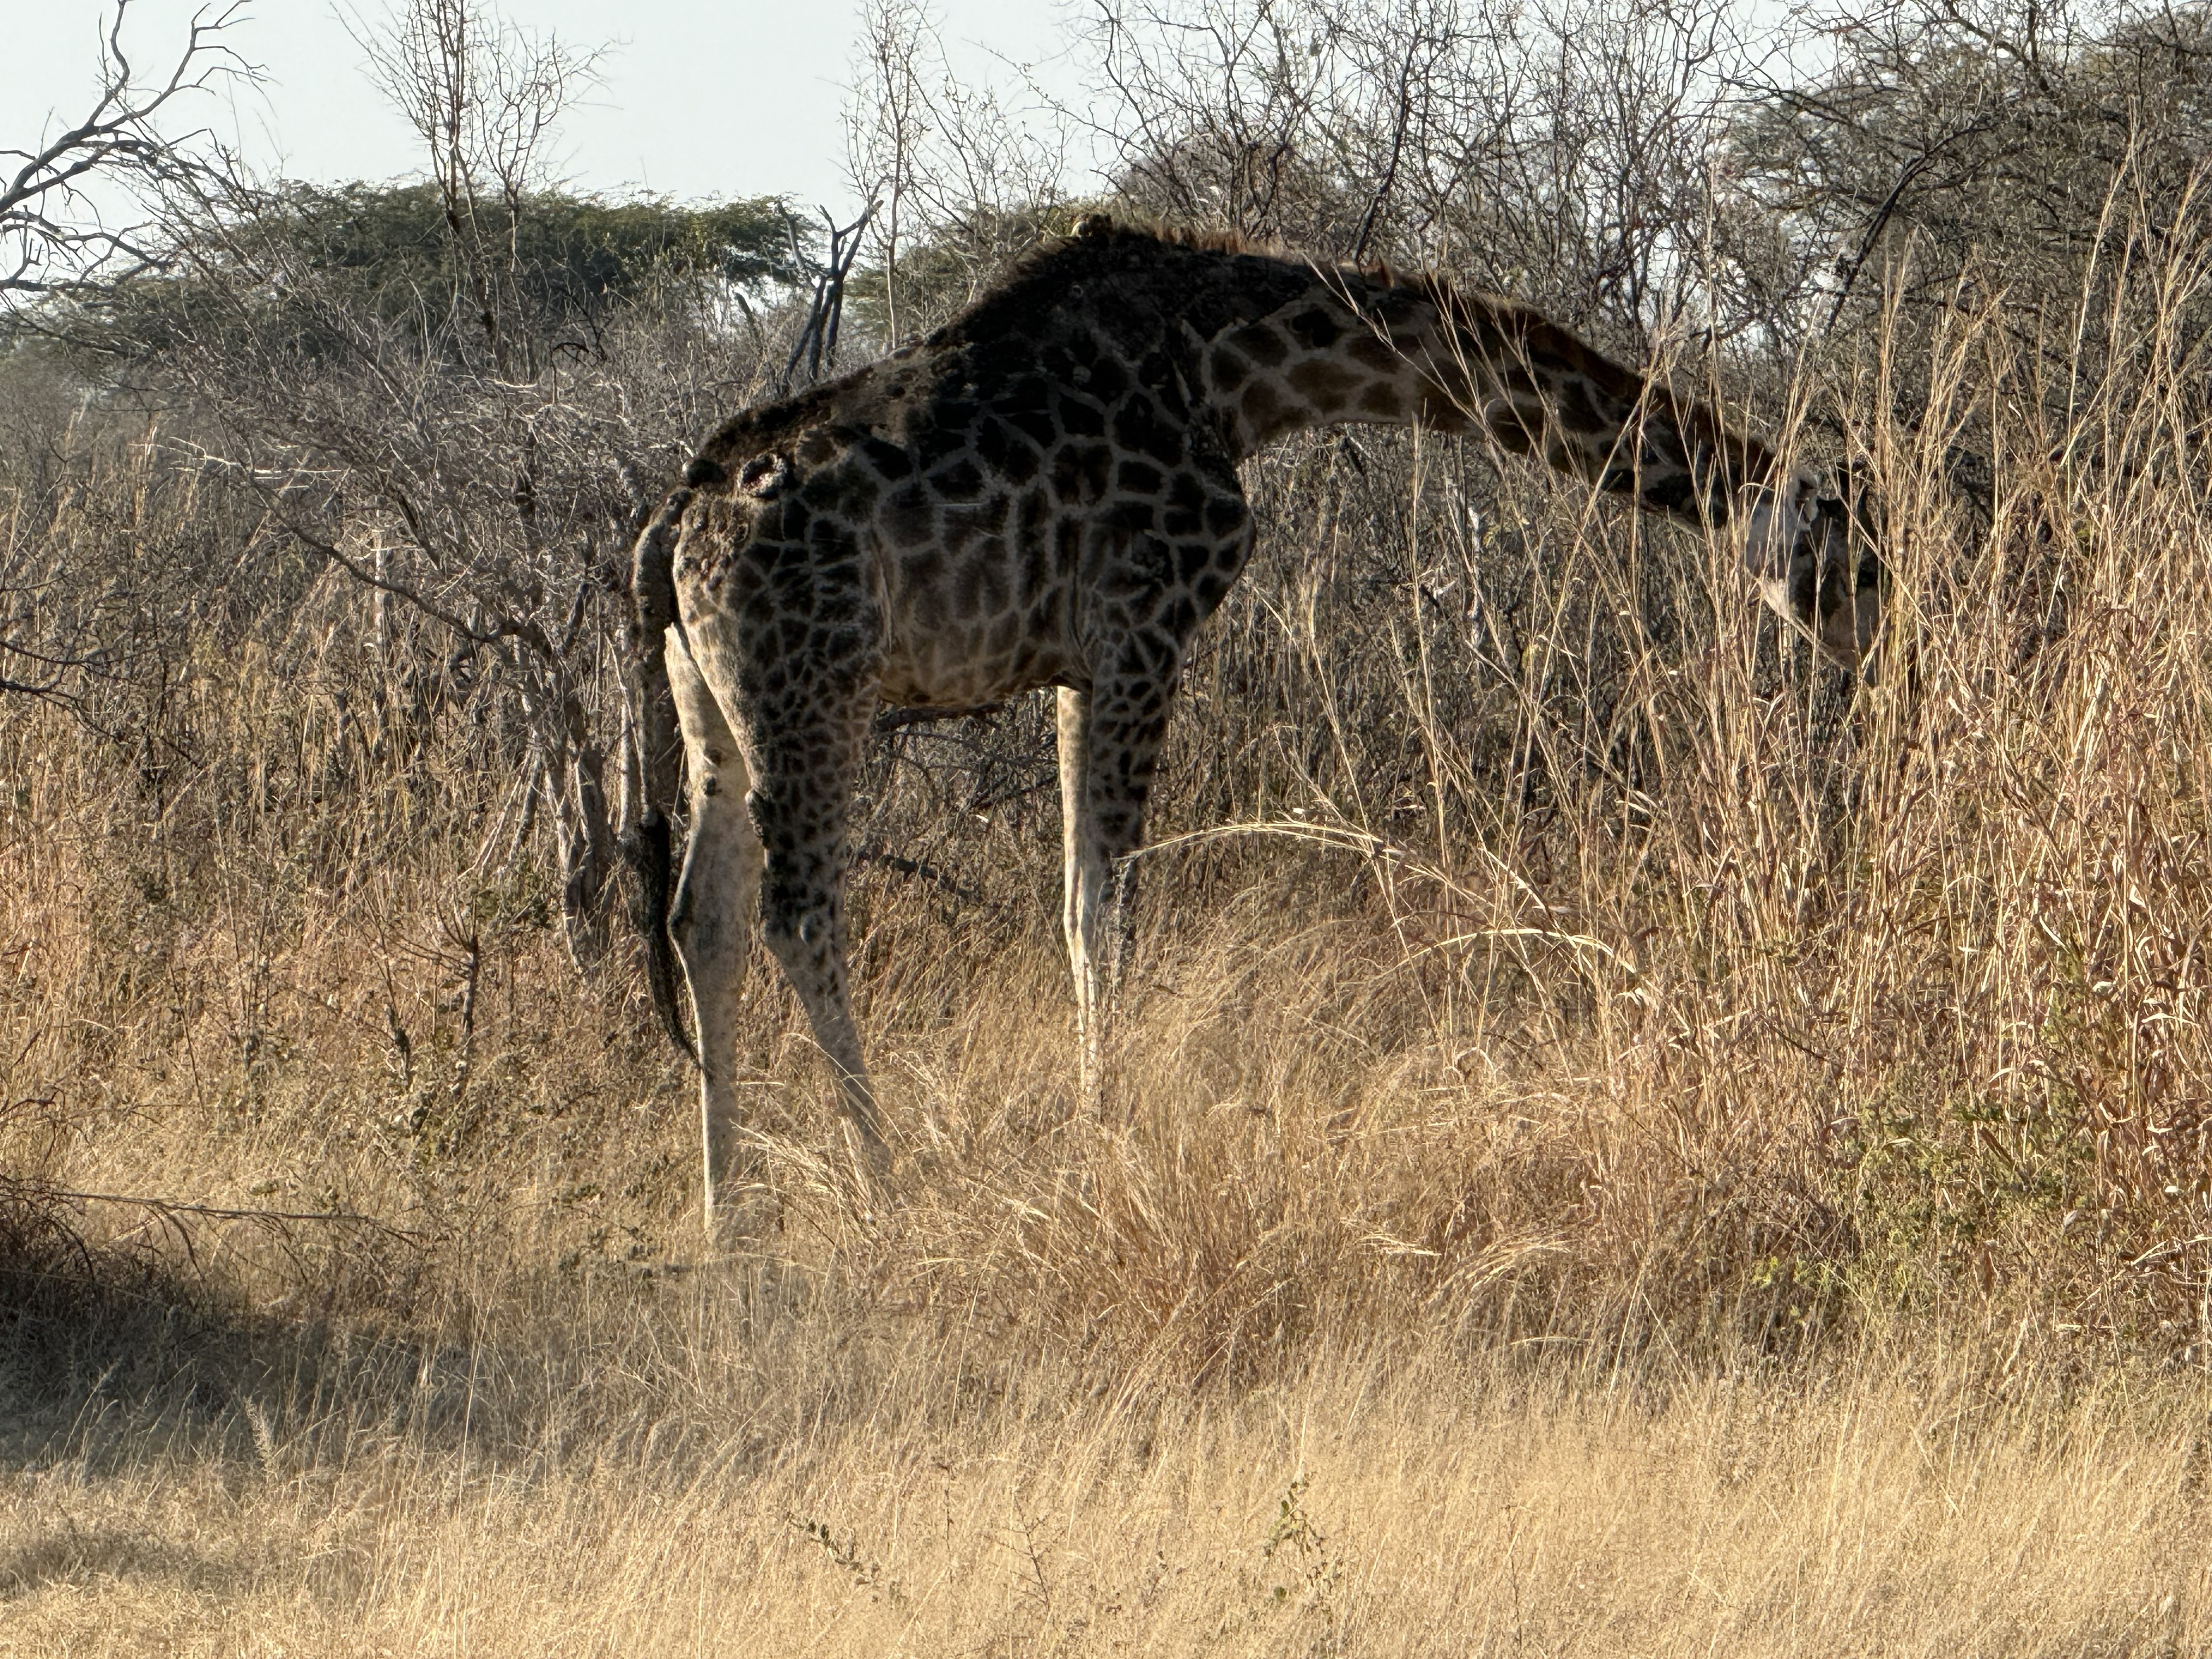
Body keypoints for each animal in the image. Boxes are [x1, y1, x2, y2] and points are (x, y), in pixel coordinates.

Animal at [630, 215, 1881, 1226]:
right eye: (1859, 565)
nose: (1878, 658)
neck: (1239, 371)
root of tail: (672, 526)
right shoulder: (1141, 627)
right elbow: (1105, 918)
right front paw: (1105, 1145)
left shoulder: (1084, 660)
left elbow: (1083, 912)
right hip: (815, 686)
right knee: (799, 913)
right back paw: (886, 1192)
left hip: (711, 707)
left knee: (705, 918)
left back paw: (729, 1218)